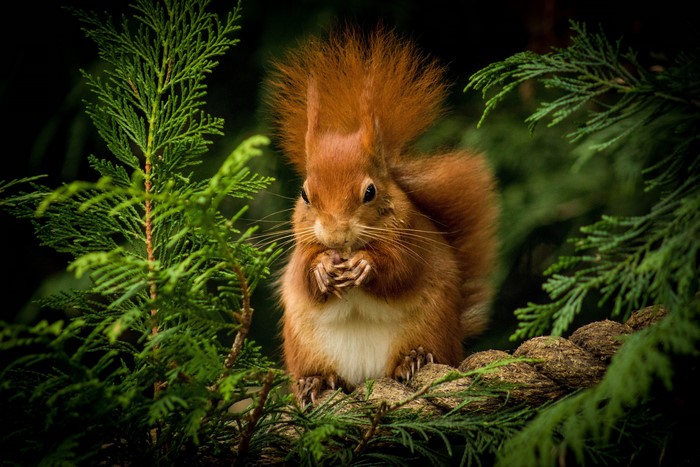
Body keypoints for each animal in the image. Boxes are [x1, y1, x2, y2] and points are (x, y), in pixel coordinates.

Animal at [265, 26, 498, 404]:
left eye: (370, 192)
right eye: (305, 195)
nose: (335, 236)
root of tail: (365, 376)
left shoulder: (412, 237)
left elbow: (401, 269)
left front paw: (365, 265)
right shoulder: (302, 248)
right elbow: (302, 275)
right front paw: (322, 268)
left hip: (431, 327)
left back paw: (412, 359)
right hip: (303, 347)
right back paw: (313, 382)